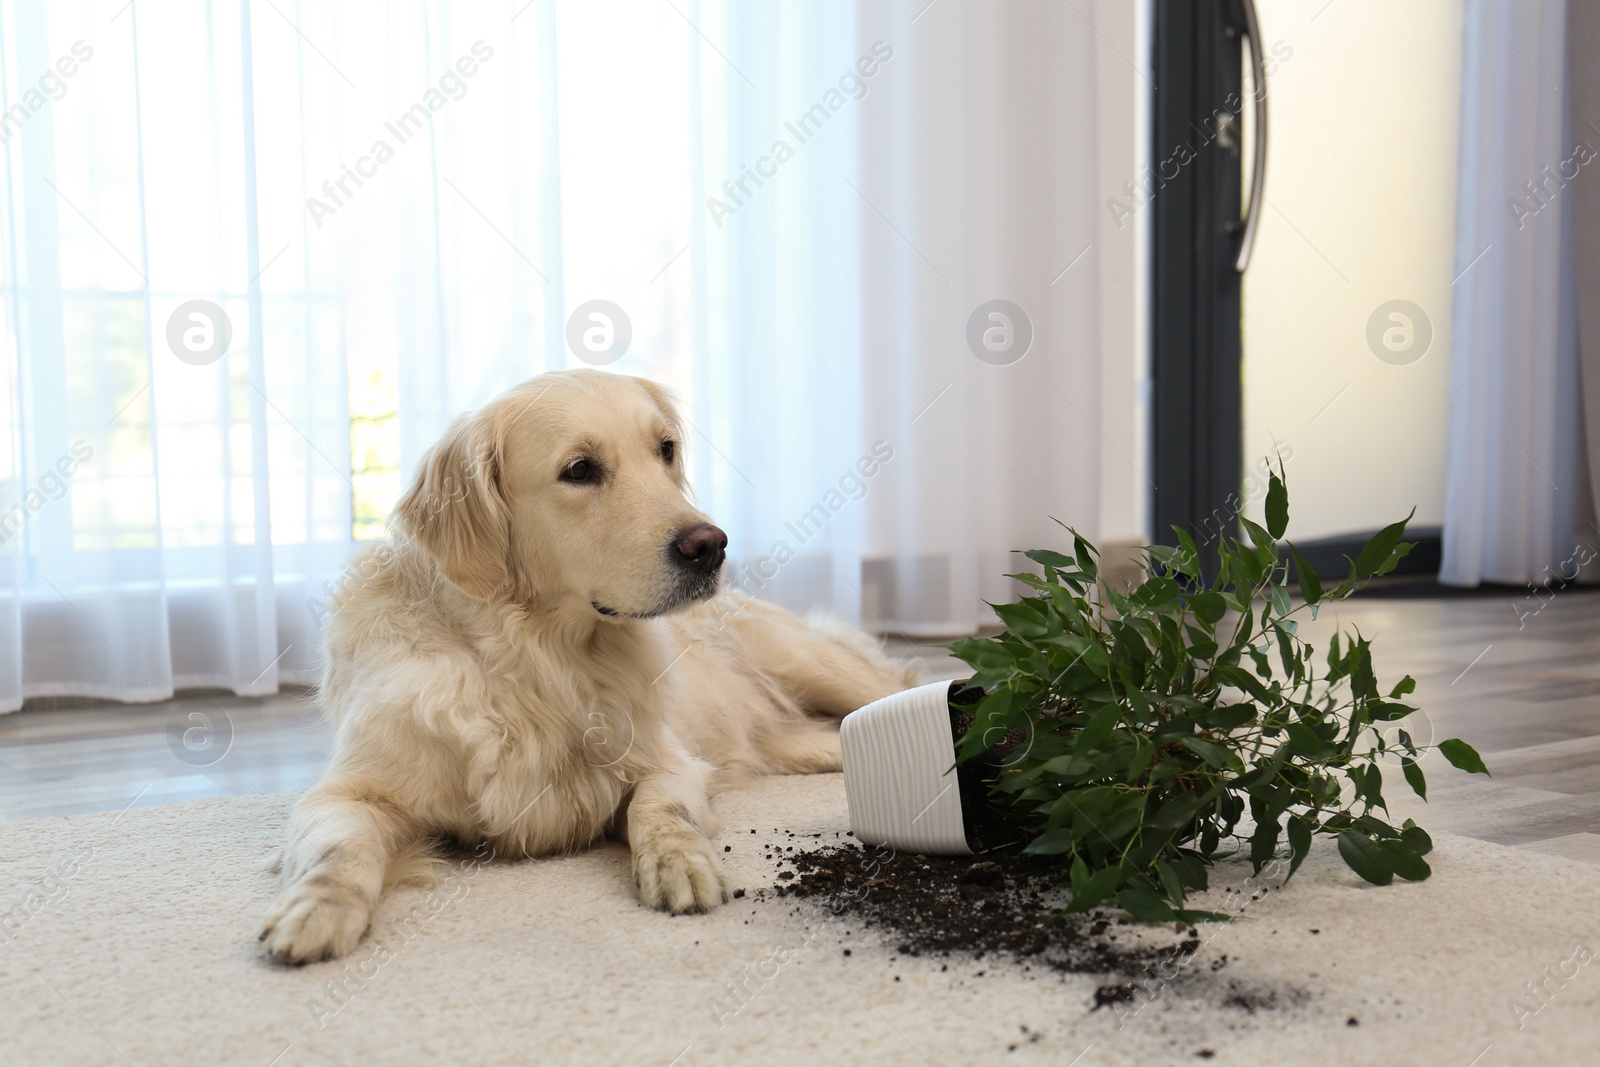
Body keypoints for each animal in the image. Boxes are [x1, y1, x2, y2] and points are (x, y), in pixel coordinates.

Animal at [256, 371, 921, 966]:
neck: (541, 660)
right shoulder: (347, 793)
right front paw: (315, 910)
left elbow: (659, 811)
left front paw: (681, 863)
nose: (710, 546)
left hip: (820, 669)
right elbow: (340, 851)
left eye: (665, 450)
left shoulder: (671, 762)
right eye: (579, 470)